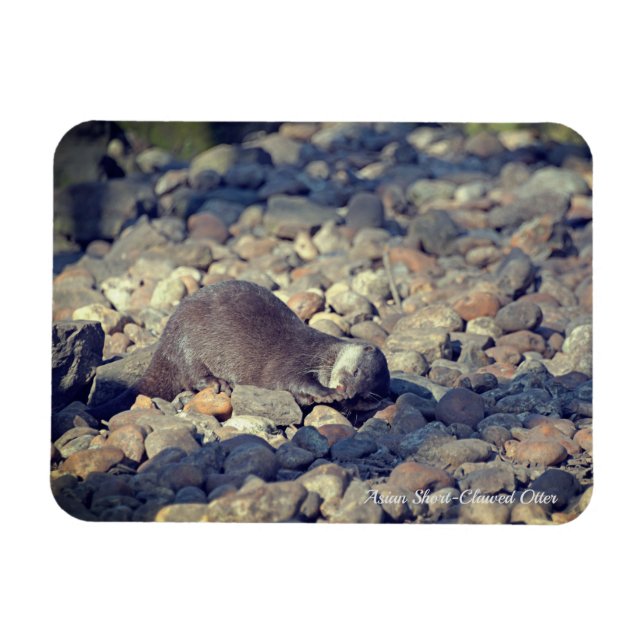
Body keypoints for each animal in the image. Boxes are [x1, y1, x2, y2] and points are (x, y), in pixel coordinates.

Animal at [90, 280, 390, 419]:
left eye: (363, 396)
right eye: (355, 372)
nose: (347, 392)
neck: (321, 353)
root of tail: (165, 339)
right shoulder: (294, 359)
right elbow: (289, 380)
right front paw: (326, 394)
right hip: (188, 342)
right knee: (190, 374)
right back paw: (218, 383)